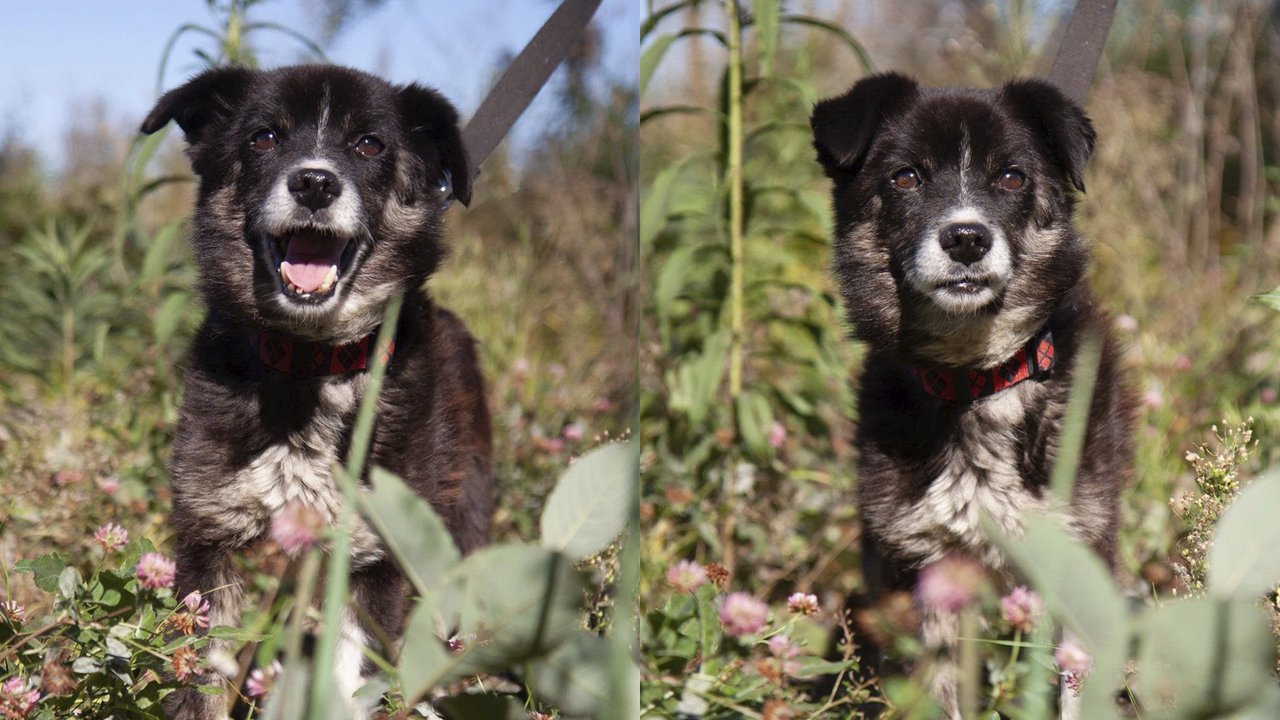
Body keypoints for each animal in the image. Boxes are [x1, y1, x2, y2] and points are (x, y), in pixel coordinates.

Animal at [142, 63, 491, 717]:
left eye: (370, 144)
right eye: (263, 137)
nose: (313, 183)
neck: (311, 360)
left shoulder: (373, 559)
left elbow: (350, 684)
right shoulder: (211, 541)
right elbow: (201, 681)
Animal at [808, 73, 1131, 712]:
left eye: (1011, 177)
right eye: (905, 176)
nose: (965, 238)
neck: (979, 380)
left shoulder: (1077, 558)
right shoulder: (922, 571)